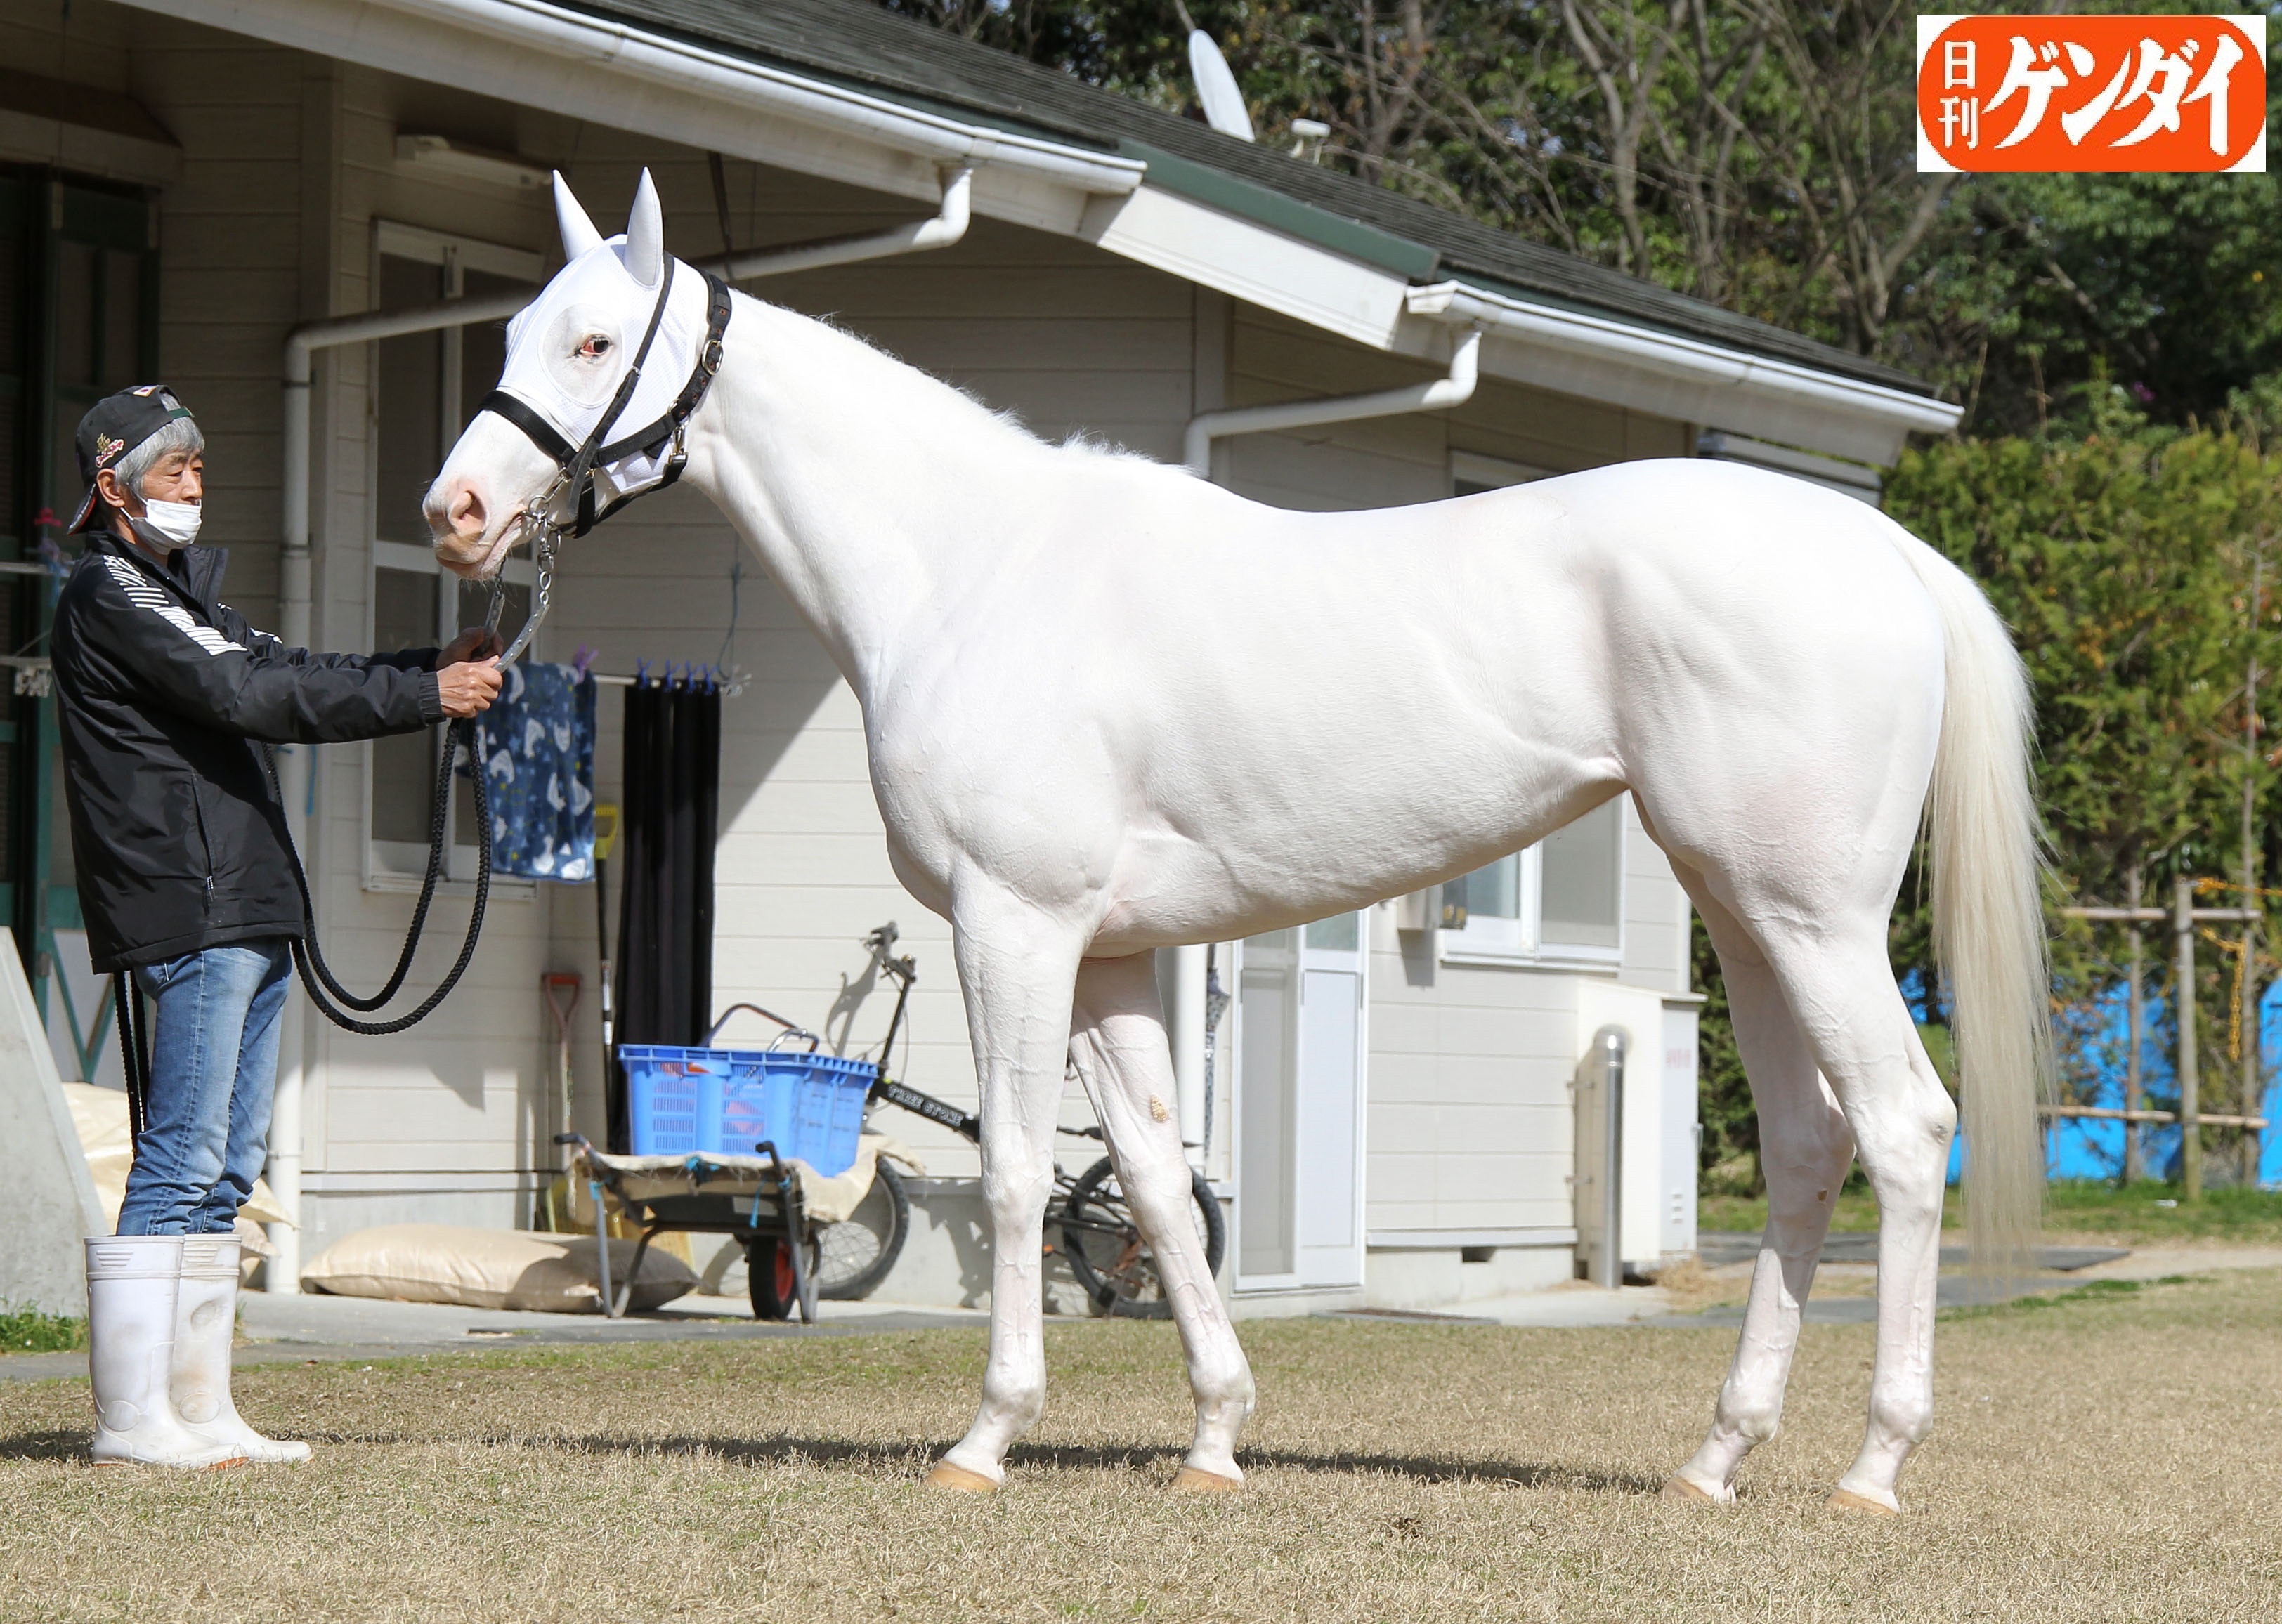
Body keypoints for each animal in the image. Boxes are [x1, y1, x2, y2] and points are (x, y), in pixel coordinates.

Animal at [429, 171, 2054, 1514]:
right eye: (509, 330)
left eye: (591, 344)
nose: (453, 512)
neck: (969, 570)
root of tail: (1882, 551)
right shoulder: (1109, 954)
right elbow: (1152, 1182)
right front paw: (1213, 1436)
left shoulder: (1013, 924)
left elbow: (1015, 1173)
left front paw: (986, 1437)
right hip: (1746, 913)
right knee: (1808, 1144)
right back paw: (1715, 1459)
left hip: (1811, 919)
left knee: (1903, 1131)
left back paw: (1870, 1468)